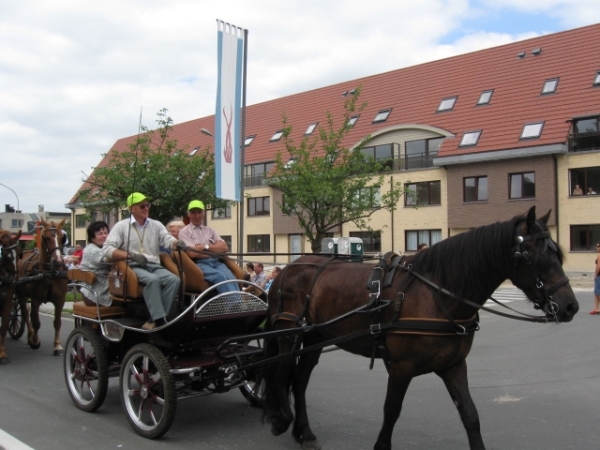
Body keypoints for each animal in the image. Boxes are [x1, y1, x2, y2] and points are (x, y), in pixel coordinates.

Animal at [16, 218, 68, 356]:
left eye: (62, 237)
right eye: (46, 238)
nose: (58, 261)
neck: (50, 273)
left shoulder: (60, 300)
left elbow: (57, 323)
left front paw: (57, 346)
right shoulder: (36, 300)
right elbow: (36, 323)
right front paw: (35, 341)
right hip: (20, 294)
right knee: (25, 314)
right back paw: (30, 336)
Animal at [262, 209, 576, 450]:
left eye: (557, 254)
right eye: (537, 257)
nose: (570, 306)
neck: (438, 293)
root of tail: (288, 267)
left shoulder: (454, 365)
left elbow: (471, 415)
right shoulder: (402, 367)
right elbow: (391, 411)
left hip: (316, 336)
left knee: (299, 380)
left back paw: (305, 432)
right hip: (289, 333)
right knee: (280, 372)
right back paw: (280, 419)